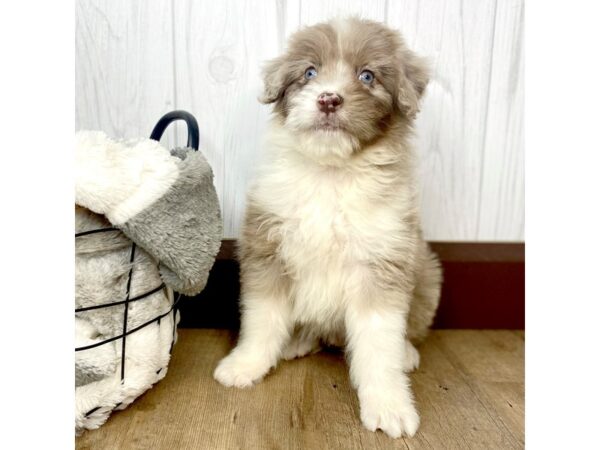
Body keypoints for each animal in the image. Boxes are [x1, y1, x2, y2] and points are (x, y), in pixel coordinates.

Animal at [216, 18, 440, 440]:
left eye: (367, 76)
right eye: (309, 72)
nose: (328, 99)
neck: (331, 173)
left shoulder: (382, 264)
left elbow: (379, 344)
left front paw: (389, 405)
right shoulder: (267, 250)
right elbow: (262, 319)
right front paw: (245, 365)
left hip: (427, 273)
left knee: (407, 331)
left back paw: (407, 353)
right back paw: (295, 341)